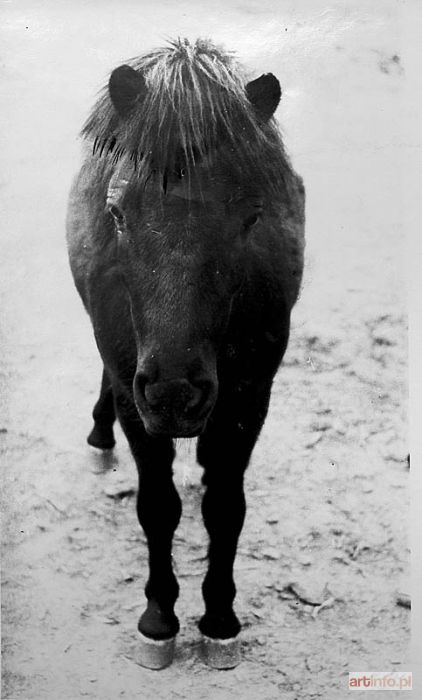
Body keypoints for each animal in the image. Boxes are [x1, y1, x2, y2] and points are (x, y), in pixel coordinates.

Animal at [65, 37, 304, 668]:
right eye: (117, 213)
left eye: (251, 216)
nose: (175, 390)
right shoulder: (136, 397)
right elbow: (158, 507)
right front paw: (159, 619)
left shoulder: (249, 396)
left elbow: (224, 505)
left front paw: (219, 620)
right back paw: (99, 435)